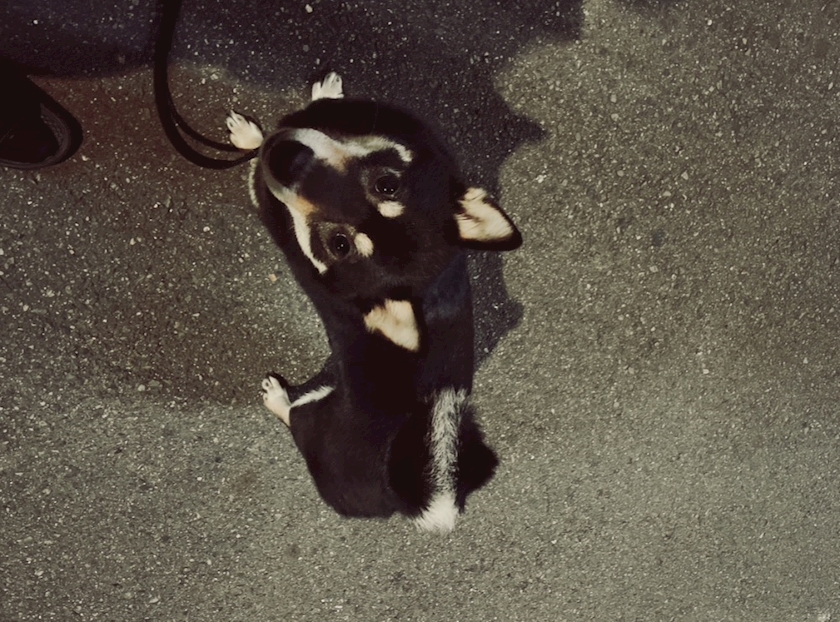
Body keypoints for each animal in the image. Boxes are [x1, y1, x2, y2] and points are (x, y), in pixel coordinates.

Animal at [226, 72, 521, 532]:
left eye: (338, 244)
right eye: (387, 183)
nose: (289, 158)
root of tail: (397, 499)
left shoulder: (262, 193)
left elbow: (254, 154)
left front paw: (249, 135)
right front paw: (319, 98)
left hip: (315, 419)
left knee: (293, 416)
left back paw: (276, 397)